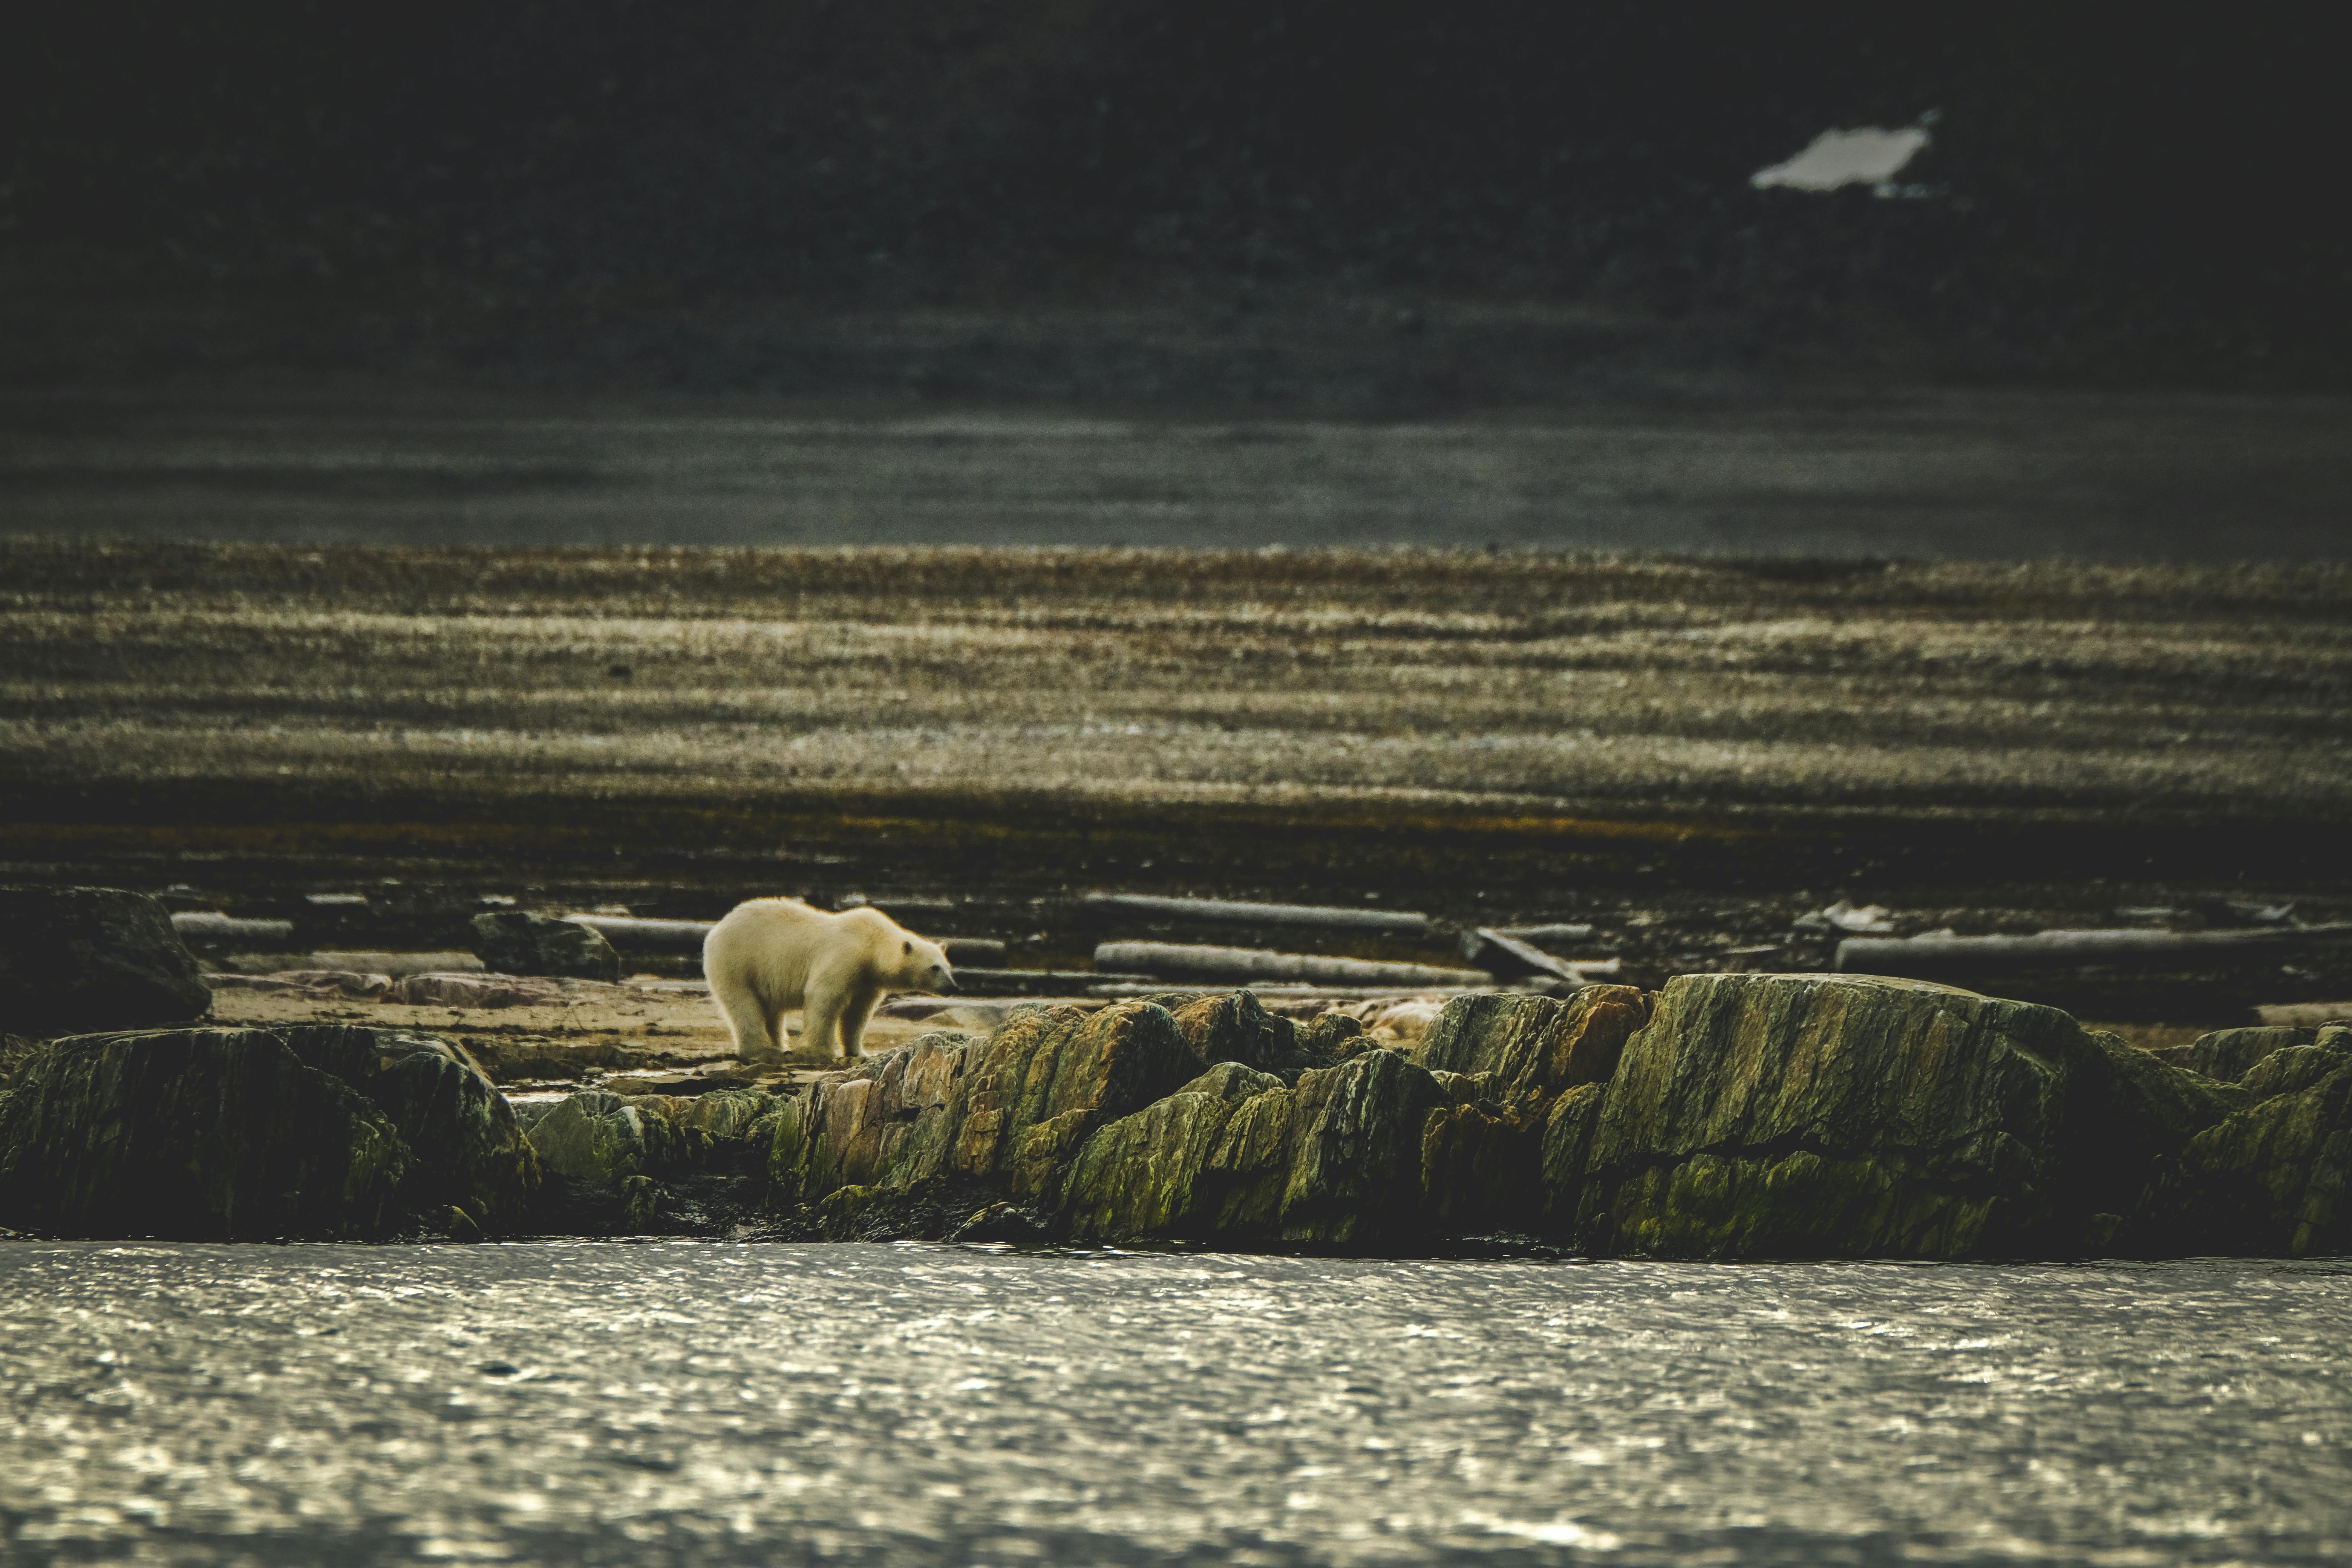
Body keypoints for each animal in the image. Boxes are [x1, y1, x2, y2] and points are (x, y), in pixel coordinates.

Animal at [701, 898, 956, 1064]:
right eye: (934, 968)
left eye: (948, 967)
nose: (953, 987)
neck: (872, 944)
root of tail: (718, 928)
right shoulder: (845, 956)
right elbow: (824, 996)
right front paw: (822, 1052)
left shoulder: (868, 980)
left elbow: (858, 1012)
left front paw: (860, 1052)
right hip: (738, 961)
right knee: (744, 1004)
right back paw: (761, 1051)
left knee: (772, 1010)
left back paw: (778, 1046)